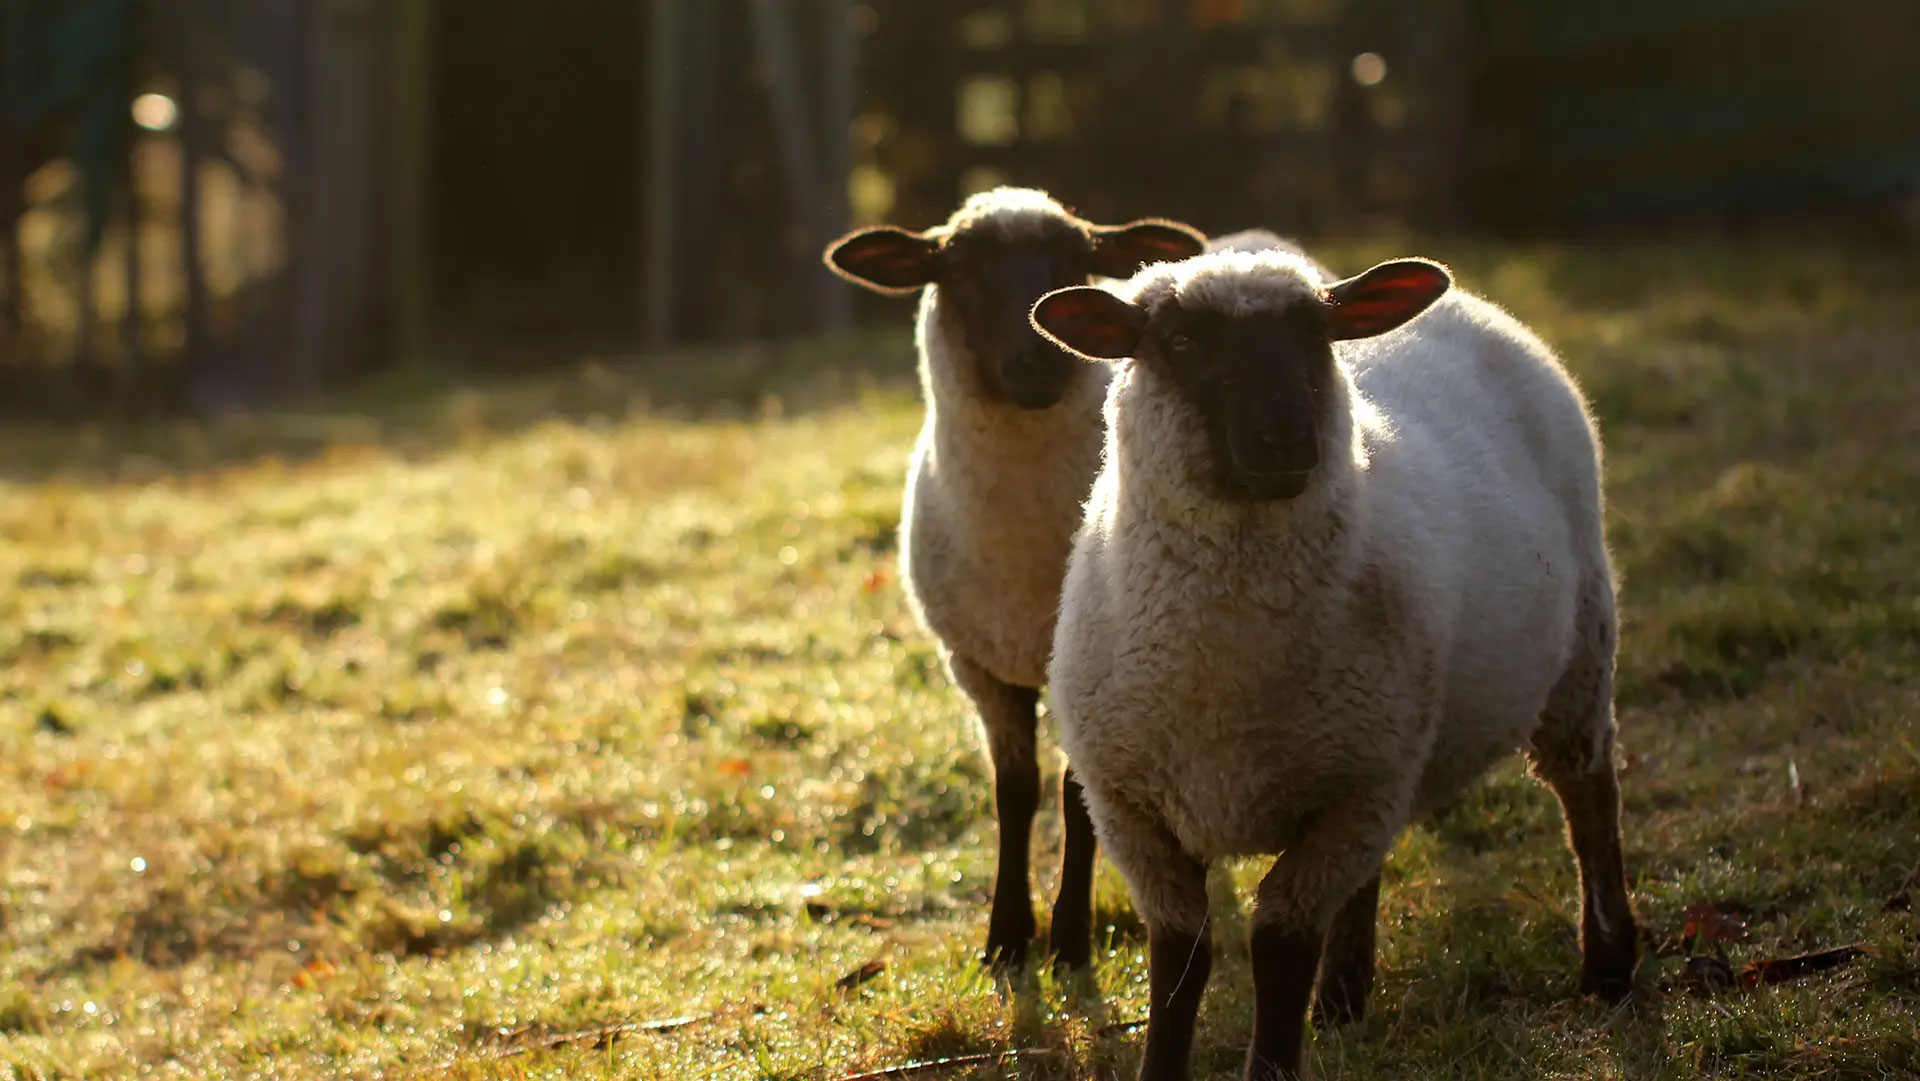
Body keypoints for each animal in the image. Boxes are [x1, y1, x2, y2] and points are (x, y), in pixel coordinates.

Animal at [817, 188, 1205, 971]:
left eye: (1077, 262)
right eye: (960, 268)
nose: (1040, 360)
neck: (1023, 558)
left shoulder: (1083, 672)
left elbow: (1074, 795)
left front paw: (1070, 939)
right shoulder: (978, 666)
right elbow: (1015, 793)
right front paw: (1005, 938)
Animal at [1029, 249, 1643, 1075]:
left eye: (1316, 335)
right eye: (1180, 341)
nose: (1286, 441)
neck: (1227, 666)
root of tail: (1474, 306)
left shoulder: (1351, 794)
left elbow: (1279, 945)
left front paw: (1274, 1061)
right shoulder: (1133, 807)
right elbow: (1180, 958)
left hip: (1577, 654)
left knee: (1589, 799)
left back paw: (1608, 964)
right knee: (1371, 871)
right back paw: (1344, 998)